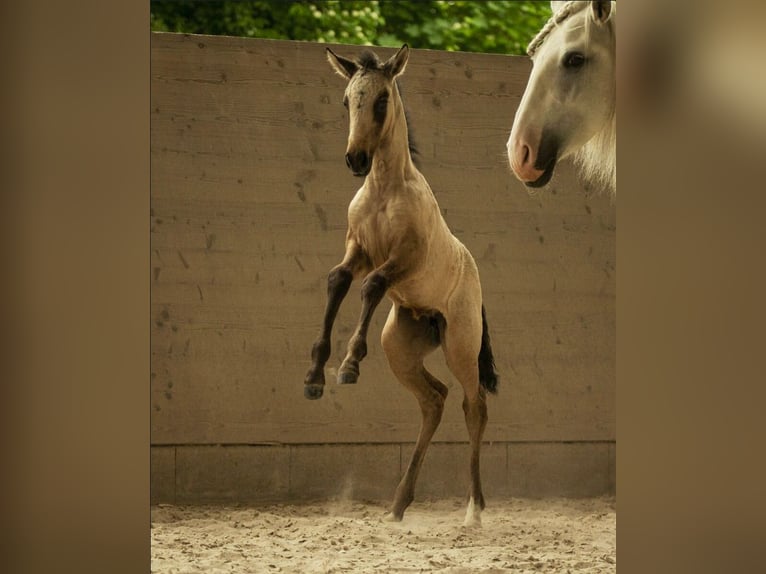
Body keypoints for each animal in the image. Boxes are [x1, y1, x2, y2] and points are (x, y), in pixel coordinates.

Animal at [304, 45, 500, 528]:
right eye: (346, 101)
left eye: (381, 101)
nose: (356, 159)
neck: (383, 190)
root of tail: (477, 284)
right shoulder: (357, 250)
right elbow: (337, 280)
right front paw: (315, 377)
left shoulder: (401, 261)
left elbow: (372, 286)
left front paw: (349, 365)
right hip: (400, 348)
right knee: (434, 400)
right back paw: (397, 505)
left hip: (461, 347)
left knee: (474, 406)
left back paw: (474, 510)